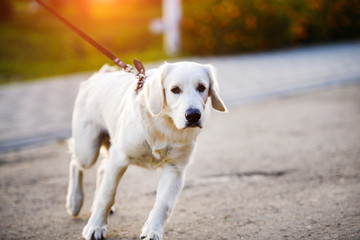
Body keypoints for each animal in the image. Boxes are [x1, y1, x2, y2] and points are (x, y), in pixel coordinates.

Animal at [66, 62, 226, 240]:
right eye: (175, 89)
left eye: (201, 87)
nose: (193, 115)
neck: (163, 124)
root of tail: (100, 74)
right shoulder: (119, 157)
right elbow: (107, 195)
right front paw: (95, 227)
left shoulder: (175, 169)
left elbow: (163, 204)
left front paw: (152, 231)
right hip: (87, 150)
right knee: (76, 163)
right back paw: (74, 202)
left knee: (101, 168)